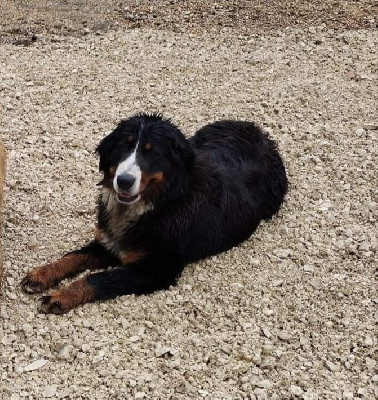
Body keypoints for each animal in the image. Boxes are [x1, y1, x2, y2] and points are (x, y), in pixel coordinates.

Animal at [20, 112, 288, 312]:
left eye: (152, 152)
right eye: (123, 147)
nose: (124, 181)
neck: (156, 204)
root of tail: (255, 128)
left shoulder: (157, 268)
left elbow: (97, 278)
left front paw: (60, 296)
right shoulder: (110, 243)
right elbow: (72, 257)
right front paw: (42, 274)